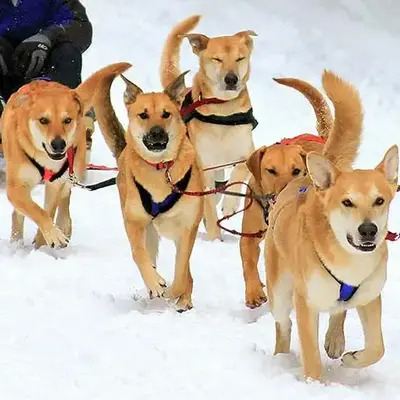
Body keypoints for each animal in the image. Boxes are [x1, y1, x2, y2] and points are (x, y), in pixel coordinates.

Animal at [0, 76, 98, 247]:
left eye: (67, 120)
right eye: (43, 120)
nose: (59, 144)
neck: (42, 156)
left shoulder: (55, 184)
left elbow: (48, 211)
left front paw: (42, 244)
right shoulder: (16, 188)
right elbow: (37, 211)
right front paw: (52, 235)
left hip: (75, 167)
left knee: (66, 196)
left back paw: (64, 225)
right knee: (18, 213)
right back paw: (16, 240)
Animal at [90, 64, 203, 310]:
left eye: (166, 114)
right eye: (143, 115)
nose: (157, 133)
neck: (161, 169)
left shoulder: (187, 227)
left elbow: (181, 268)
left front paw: (174, 292)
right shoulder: (134, 221)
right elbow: (138, 254)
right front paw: (155, 283)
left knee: (186, 270)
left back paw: (182, 298)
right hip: (148, 231)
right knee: (148, 255)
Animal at [161, 14, 258, 241]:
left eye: (240, 58)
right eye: (217, 59)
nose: (231, 79)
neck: (223, 112)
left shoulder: (246, 152)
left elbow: (239, 172)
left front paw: (230, 205)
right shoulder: (203, 167)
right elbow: (208, 204)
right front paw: (215, 237)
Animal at [241, 79, 334, 310]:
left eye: (296, 170)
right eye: (271, 170)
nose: (284, 191)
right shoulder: (249, 235)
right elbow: (248, 262)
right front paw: (254, 291)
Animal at [264, 69, 398, 382]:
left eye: (379, 200)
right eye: (347, 202)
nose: (368, 230)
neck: (348, 262)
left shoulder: (370, 297)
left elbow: (378, 347)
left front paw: (354, 358)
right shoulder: (305, 302)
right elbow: (310, 353)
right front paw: (313, 384)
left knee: (340, 311)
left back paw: (336, 341)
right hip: (279, 291)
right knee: (283, 325)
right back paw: (281, 356)